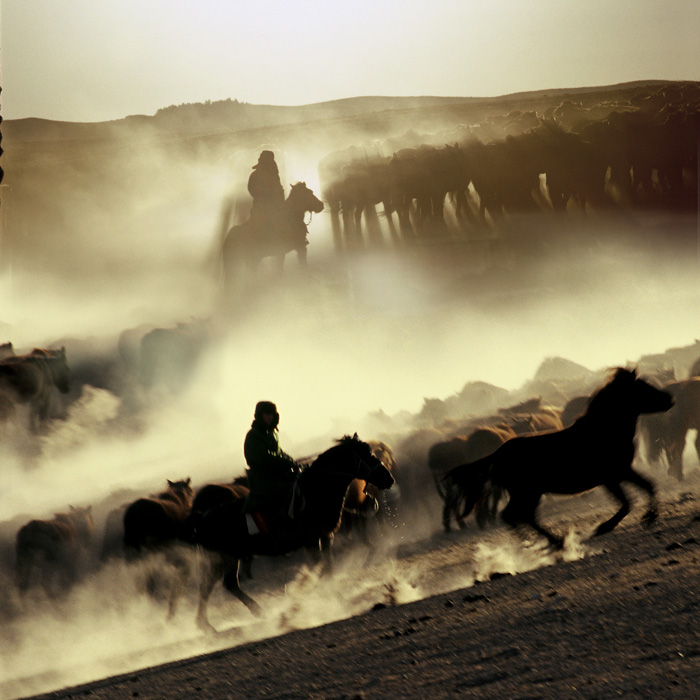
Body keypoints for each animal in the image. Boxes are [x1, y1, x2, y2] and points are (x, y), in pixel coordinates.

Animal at [442, 370, 672, 548]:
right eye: (642, 387)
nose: (669, 398)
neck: (602, 430)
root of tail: (498, 454)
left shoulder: (624, 471)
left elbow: (649, 487)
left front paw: (650, 517)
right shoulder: (611, 477)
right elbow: (627, 503)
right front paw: (603, 528)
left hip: (530, 493)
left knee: (521, 516)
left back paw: (547, 542)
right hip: (525, 492)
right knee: (513, 515)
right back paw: (544, 543)